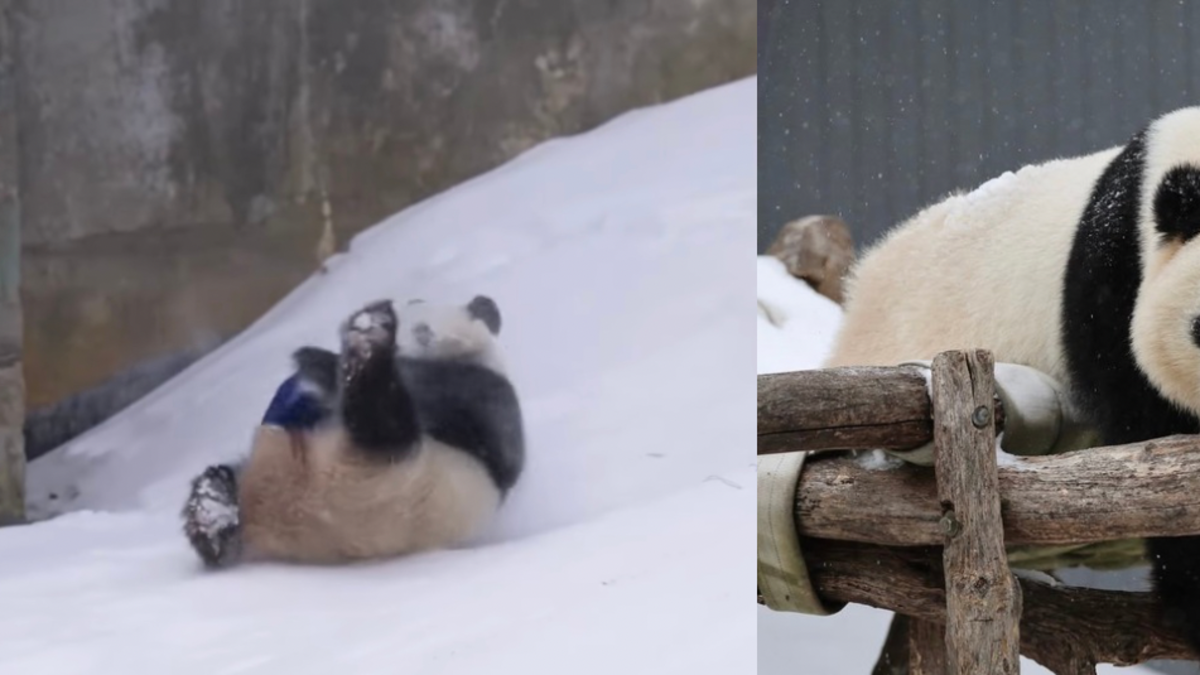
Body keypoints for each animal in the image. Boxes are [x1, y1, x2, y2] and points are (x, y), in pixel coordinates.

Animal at [180, 294, 524, 567]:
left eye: (422, 329)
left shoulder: (480, 394)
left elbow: (440, 392)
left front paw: (322, 359)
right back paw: (211, 506)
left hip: (402, 484)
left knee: (382, 420)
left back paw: (368, 342)